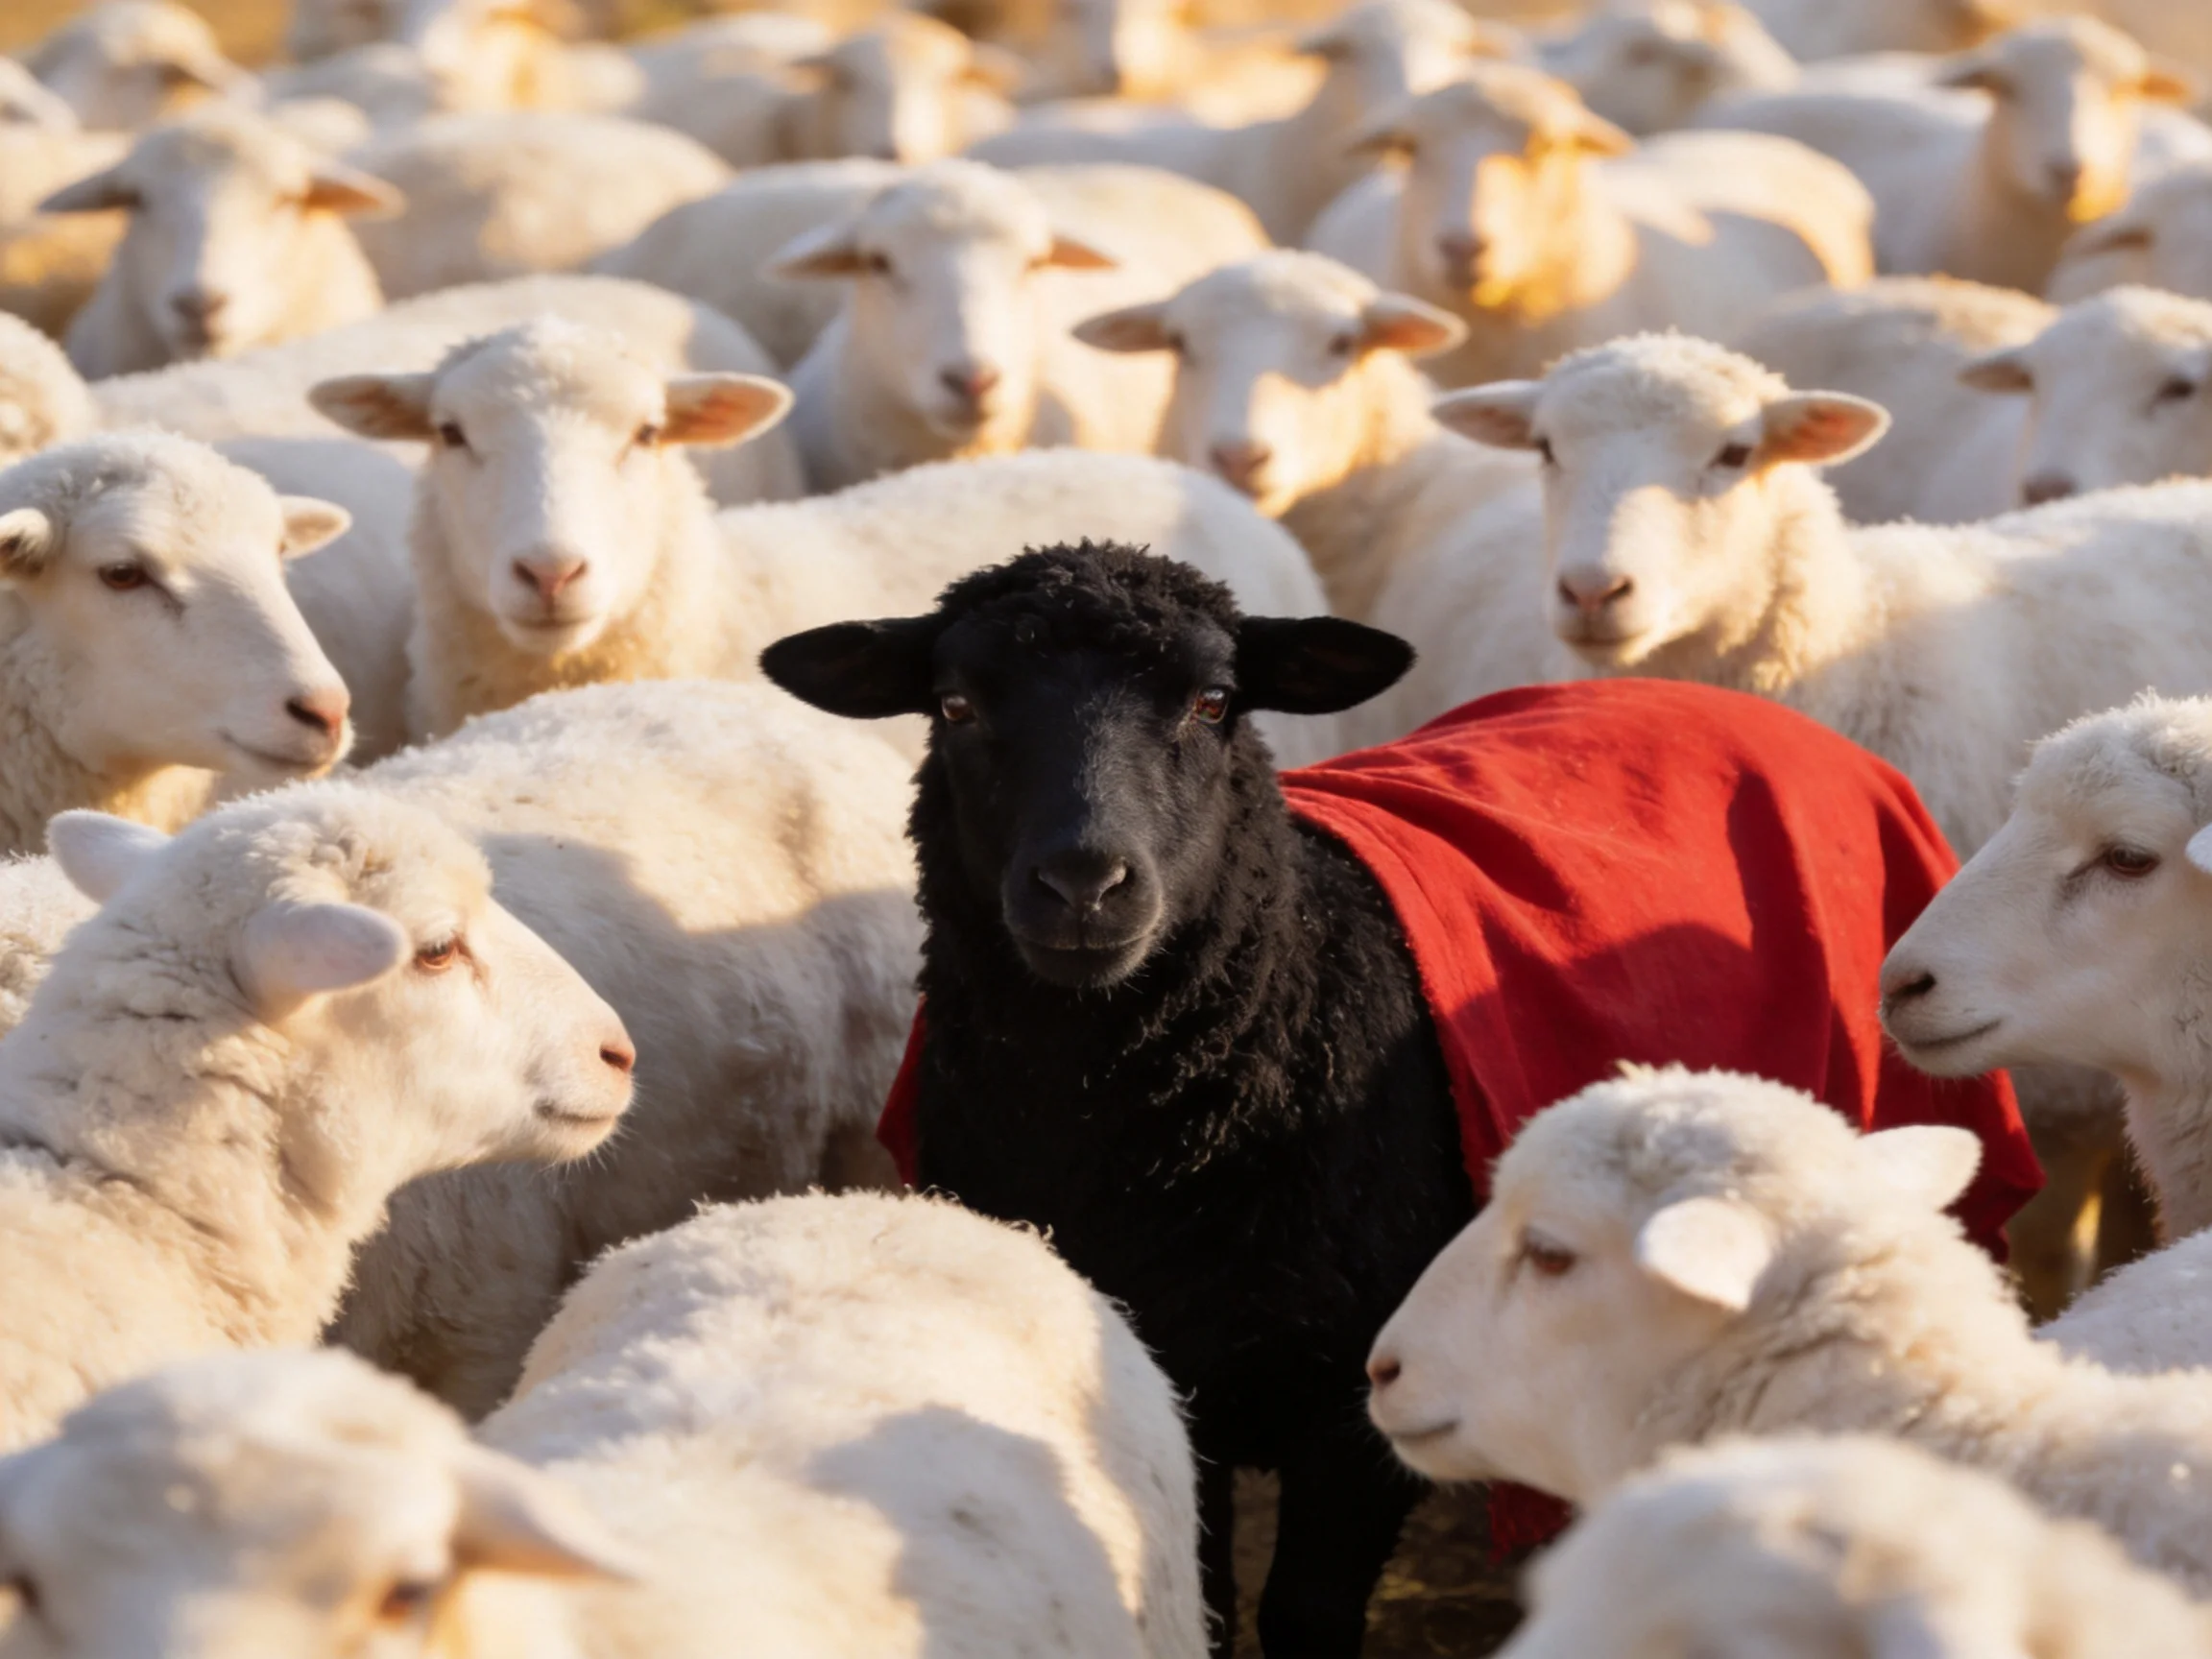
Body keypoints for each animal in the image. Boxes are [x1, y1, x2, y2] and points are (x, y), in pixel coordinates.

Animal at [760, 541, 2033, 1647]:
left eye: (1214, 703)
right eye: (956, 707)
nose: (1084, 884)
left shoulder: (1354, 1412)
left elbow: (1305, 1618)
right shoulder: (1156, 1389)